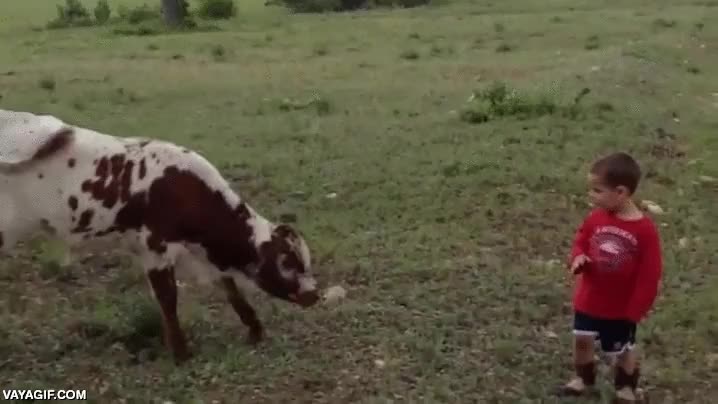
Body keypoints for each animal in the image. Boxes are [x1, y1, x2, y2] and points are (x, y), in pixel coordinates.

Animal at [0, 109, 320, 364]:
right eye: (288, 262)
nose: (314, 294)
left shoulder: (198, 250)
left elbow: (230, 288)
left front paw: (255, 330)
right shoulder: (155, 247)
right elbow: (168, 298)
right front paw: (181, 353)